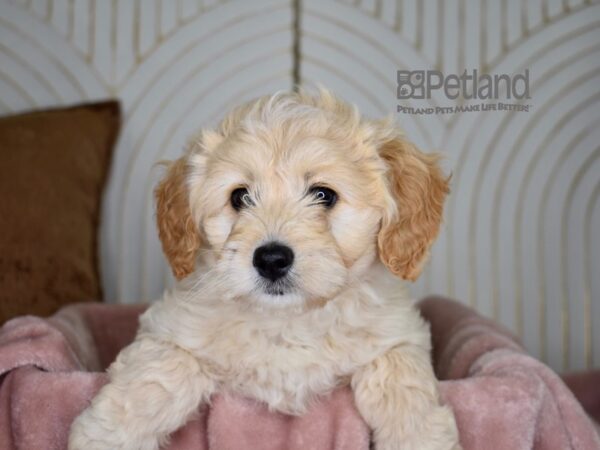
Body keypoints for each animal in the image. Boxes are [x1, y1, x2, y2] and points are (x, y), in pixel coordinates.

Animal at [71, 89, 464, 450]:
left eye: (324, 194)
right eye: (240, 197)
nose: (271, 259)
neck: (286, 321)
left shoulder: (398, 336)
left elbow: (402, 380)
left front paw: (420, 437)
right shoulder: (171, 328)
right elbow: (159, 370)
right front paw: (102, 437)